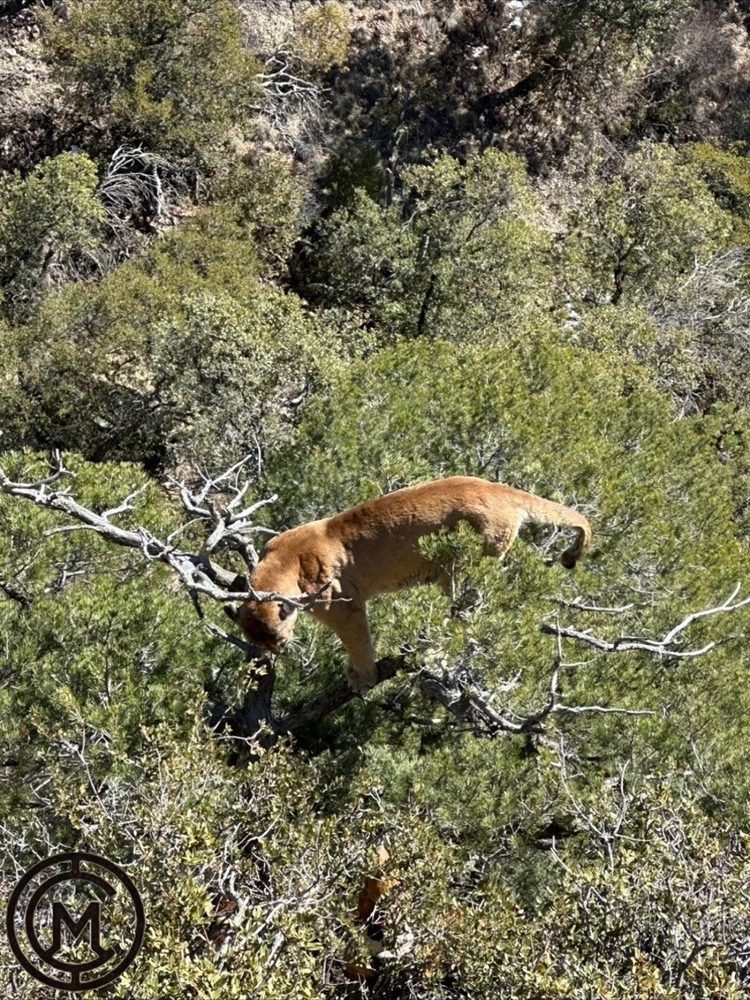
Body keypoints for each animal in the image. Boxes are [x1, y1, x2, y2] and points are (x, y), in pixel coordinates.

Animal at [226, 476, 592, 693]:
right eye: (257, 640)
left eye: (275, 637)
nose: (276, 652)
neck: (283, 563)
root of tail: (496, 488)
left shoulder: (347, 608)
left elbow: (359, 643)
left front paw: (363, 679)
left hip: (461, 569)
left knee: (466, 615)